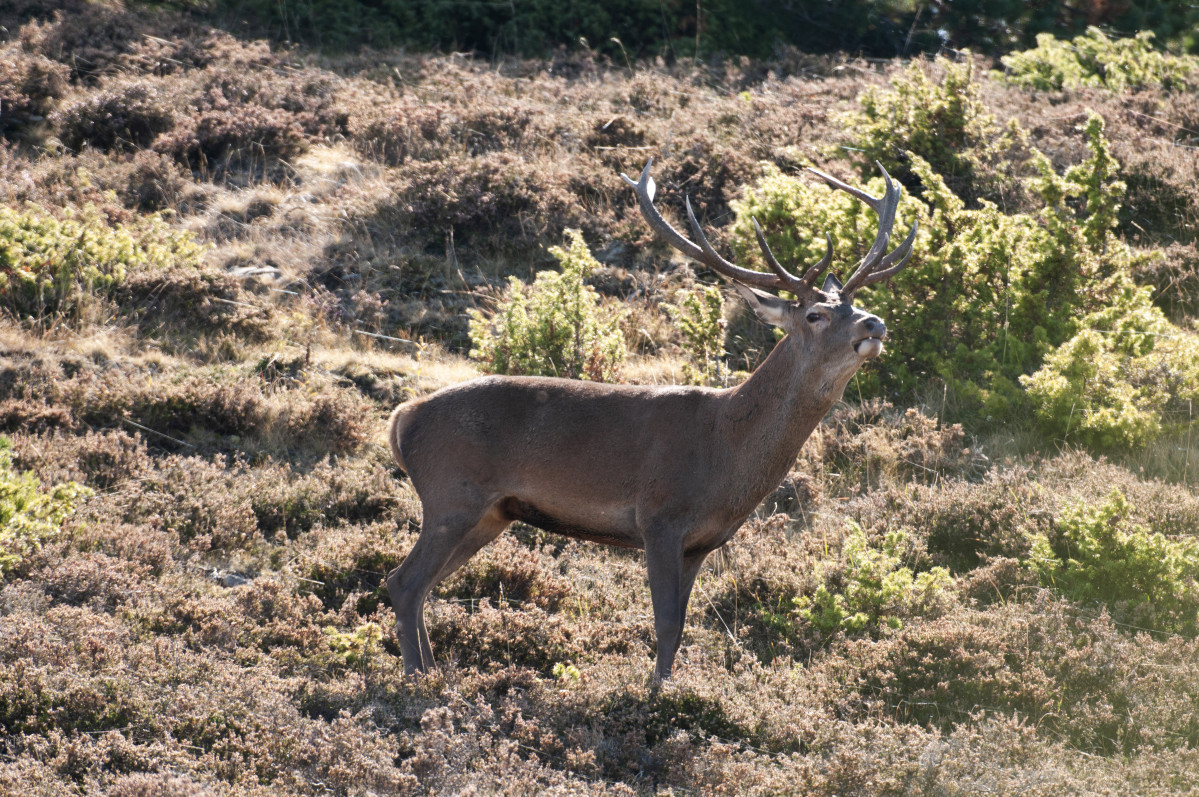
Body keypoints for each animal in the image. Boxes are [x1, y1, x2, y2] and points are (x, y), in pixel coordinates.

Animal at [388, 160, 911, 675]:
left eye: (856, 305)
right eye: (815, 315)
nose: (875, 324)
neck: (726, 454)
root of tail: (400, 419)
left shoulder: (701, 543)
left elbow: (680, 629)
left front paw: (669, 686)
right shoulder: (659, 517)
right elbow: (664, 624)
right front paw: (658, 692)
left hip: (490, 513)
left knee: (420, 585)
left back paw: (432, 672)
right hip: (451, 495)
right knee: (404, 582)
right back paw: (418, 681)